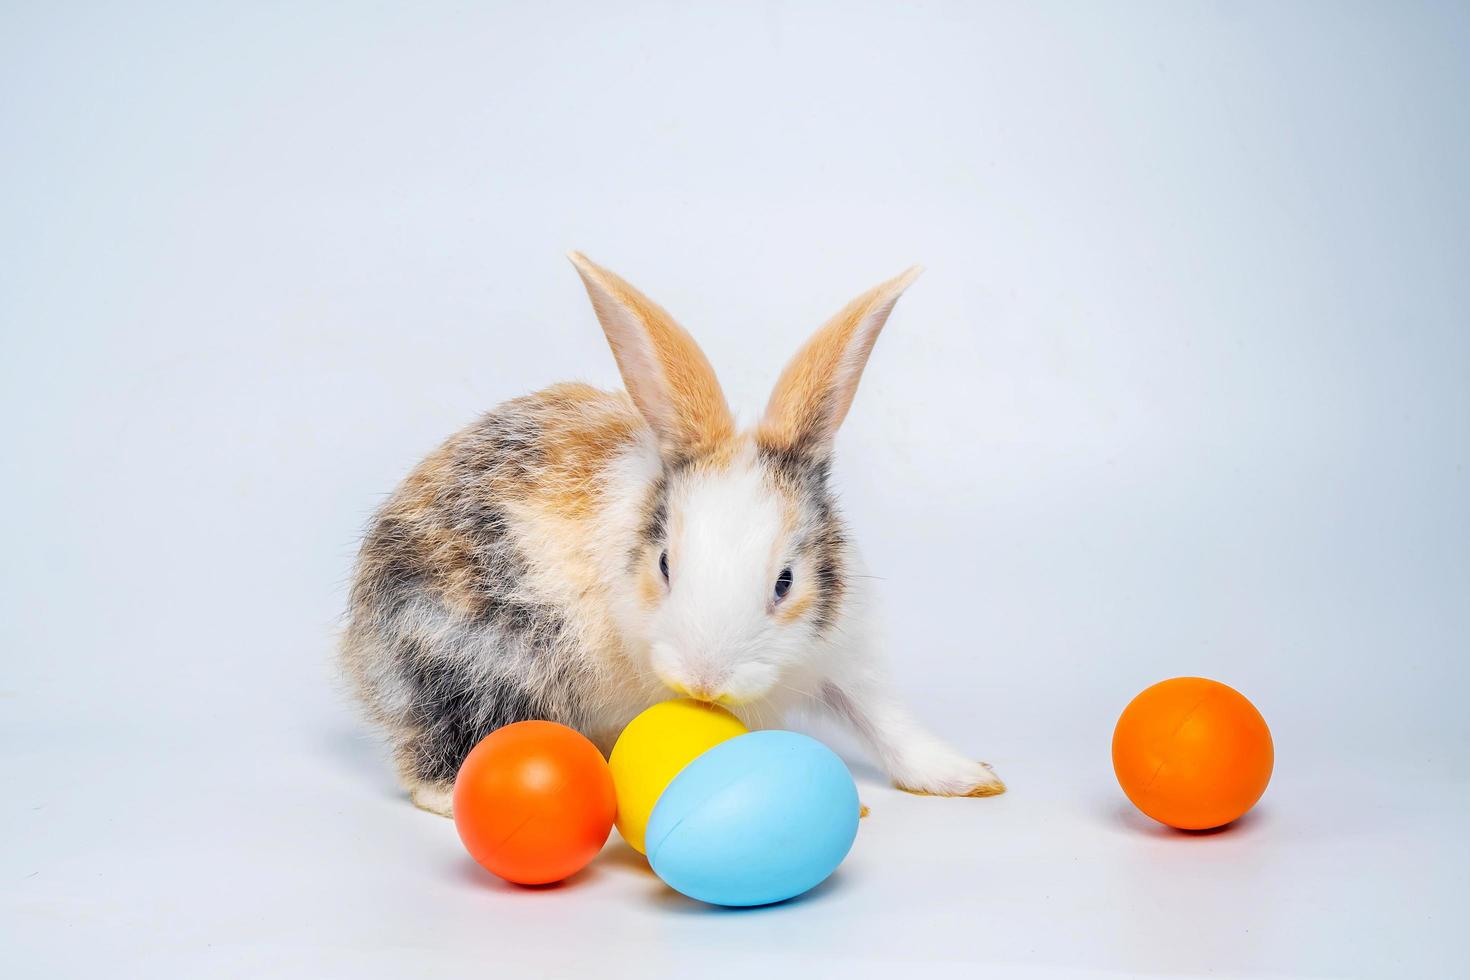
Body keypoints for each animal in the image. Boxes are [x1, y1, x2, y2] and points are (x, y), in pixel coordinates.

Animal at [338, 255, 1005, 822]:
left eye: (786, 582)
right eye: (663, 565)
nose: (703, 680)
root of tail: (358, 653)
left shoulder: (846, 654)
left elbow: (886, 723)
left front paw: (971, 780)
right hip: (468, 669)